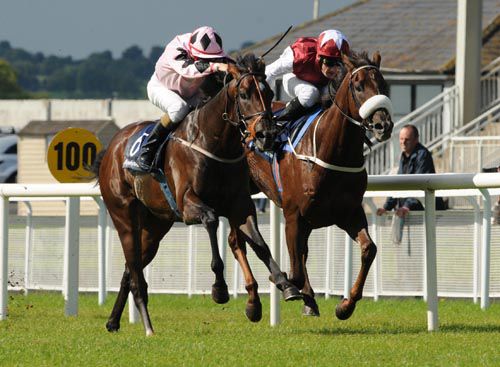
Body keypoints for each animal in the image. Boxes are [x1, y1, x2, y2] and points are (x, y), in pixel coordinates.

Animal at [91, 54, 300, 336]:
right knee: (135, 274)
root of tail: (112, 148)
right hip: (124, 217)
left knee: (129, 269)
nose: (267, 134)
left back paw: (113, 321)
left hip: (155, 226)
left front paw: (285, 284)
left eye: (268, 93)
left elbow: (259, 242)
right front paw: (220, 289)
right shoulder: (188, 204)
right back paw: (148, 327)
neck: (213, 143)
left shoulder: (240, 206)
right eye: (244, 94)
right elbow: (211, 221)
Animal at [244, 51, 392, 320]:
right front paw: (286, 285)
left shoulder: (347, 213)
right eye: (358, 86)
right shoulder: (294, 215)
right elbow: (295, 271)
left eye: (384, 85)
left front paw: (345, 305)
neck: (332, 150)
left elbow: (369, 249)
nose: (382, 125)